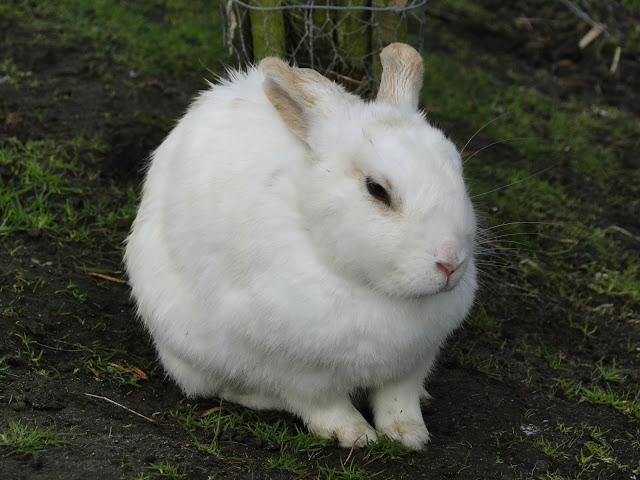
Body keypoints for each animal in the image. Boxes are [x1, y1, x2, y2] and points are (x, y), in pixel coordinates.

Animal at [125, 44, 476, 450]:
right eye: (377, 190)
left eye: (458, 170)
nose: (450, 263)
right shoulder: (300, 370)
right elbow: (324, 404)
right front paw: (355, 435)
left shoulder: (412, 363)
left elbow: (398, 400)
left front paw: (409, 435)